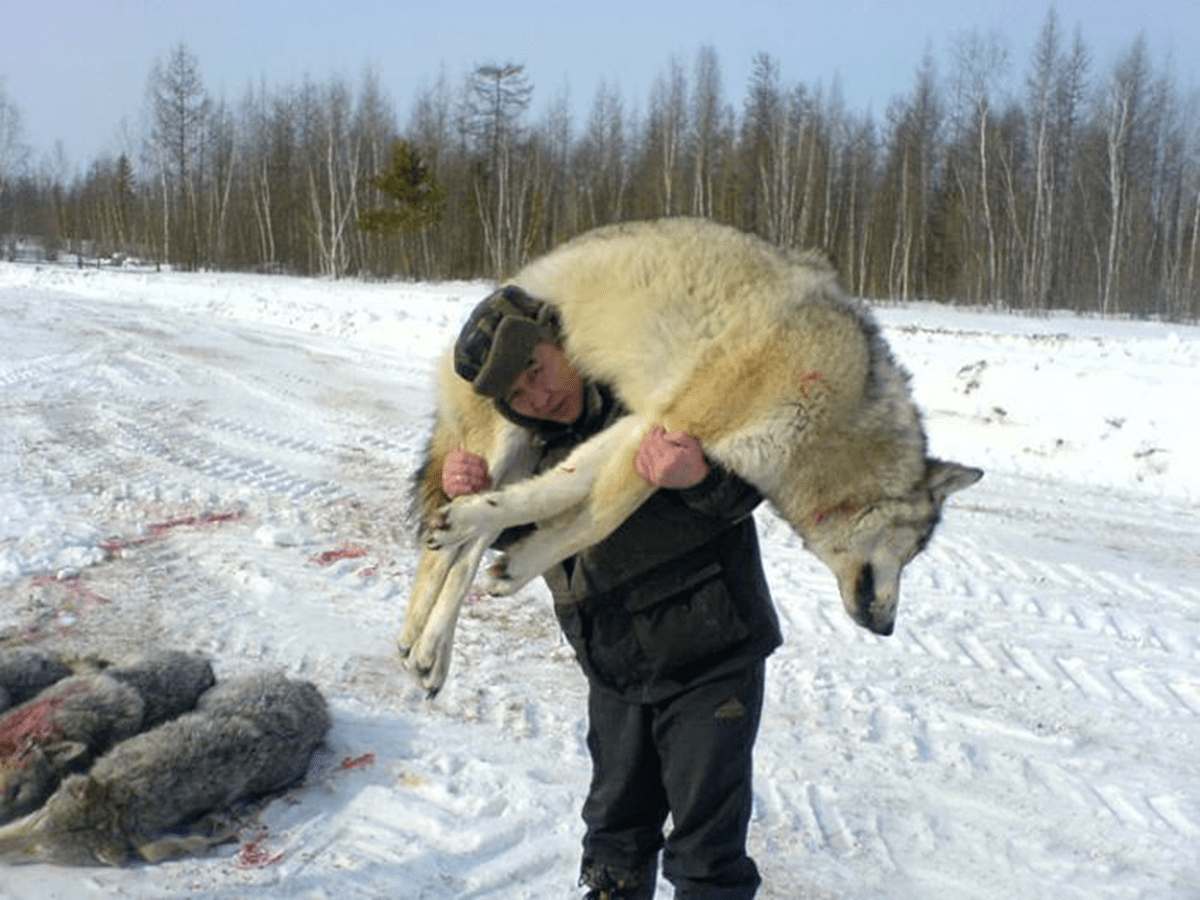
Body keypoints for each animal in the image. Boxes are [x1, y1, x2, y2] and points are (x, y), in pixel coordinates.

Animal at [398, 218, 979, 696]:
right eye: (914, 550)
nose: (888, 627)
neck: (840, 415)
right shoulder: (671, 425)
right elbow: (599, 517)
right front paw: (521, 562)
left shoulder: (641, 424)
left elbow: (566, 491)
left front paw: (514, 568)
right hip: (504, 439)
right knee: (442, 545)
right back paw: (418, 632)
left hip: (521, 453)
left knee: (468, 545)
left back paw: (430, 649)